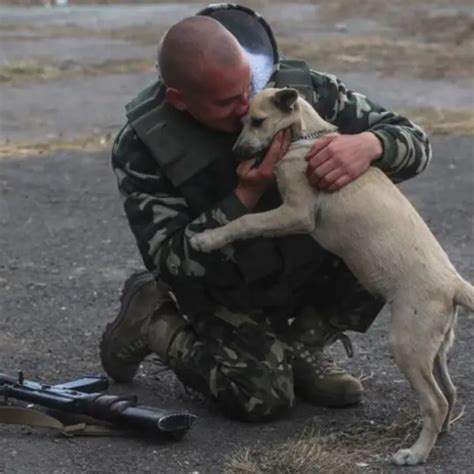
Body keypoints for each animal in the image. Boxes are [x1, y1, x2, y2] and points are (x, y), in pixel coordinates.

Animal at [189, 87, 474, 464]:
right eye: (242, 120)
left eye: (258, 121)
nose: (237, 153)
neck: (307, 137)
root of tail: (454, 284)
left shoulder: (296, 213)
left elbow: (246, 221)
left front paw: (207, 239)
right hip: (434, 345)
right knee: (450, 391)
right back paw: (436, 435)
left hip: (407, 343)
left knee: (436, 400)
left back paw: (414, 453)